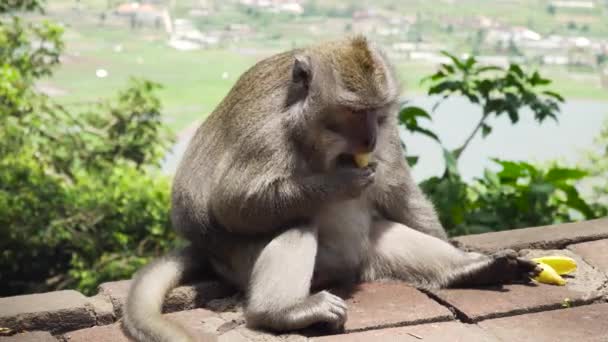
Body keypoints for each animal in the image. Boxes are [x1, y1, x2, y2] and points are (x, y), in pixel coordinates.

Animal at [123, 36, 540, 340]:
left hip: (362, 259)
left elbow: (398, 190)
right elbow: (233, 204)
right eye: (353, 112)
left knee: (382, 233)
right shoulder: (266, 136)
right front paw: (340, 183)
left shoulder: (388, 135)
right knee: (295, 225)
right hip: (240, 262)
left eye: (377, 112)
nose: (370, 139)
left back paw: (472, 270)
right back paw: (281, 312)